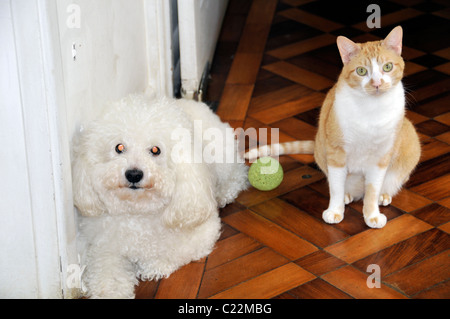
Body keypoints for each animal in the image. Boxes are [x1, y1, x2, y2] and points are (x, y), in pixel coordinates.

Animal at [244, 26, 420, 229]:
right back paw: (347, 195)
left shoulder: (381, 156)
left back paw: (384, 195)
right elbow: (336, 186)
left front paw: (372, 215)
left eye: (387, 67)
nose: (377, 84)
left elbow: (372, 190)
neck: (371, 109)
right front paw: (335, 210)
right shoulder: (336, 152)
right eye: (361, 71)